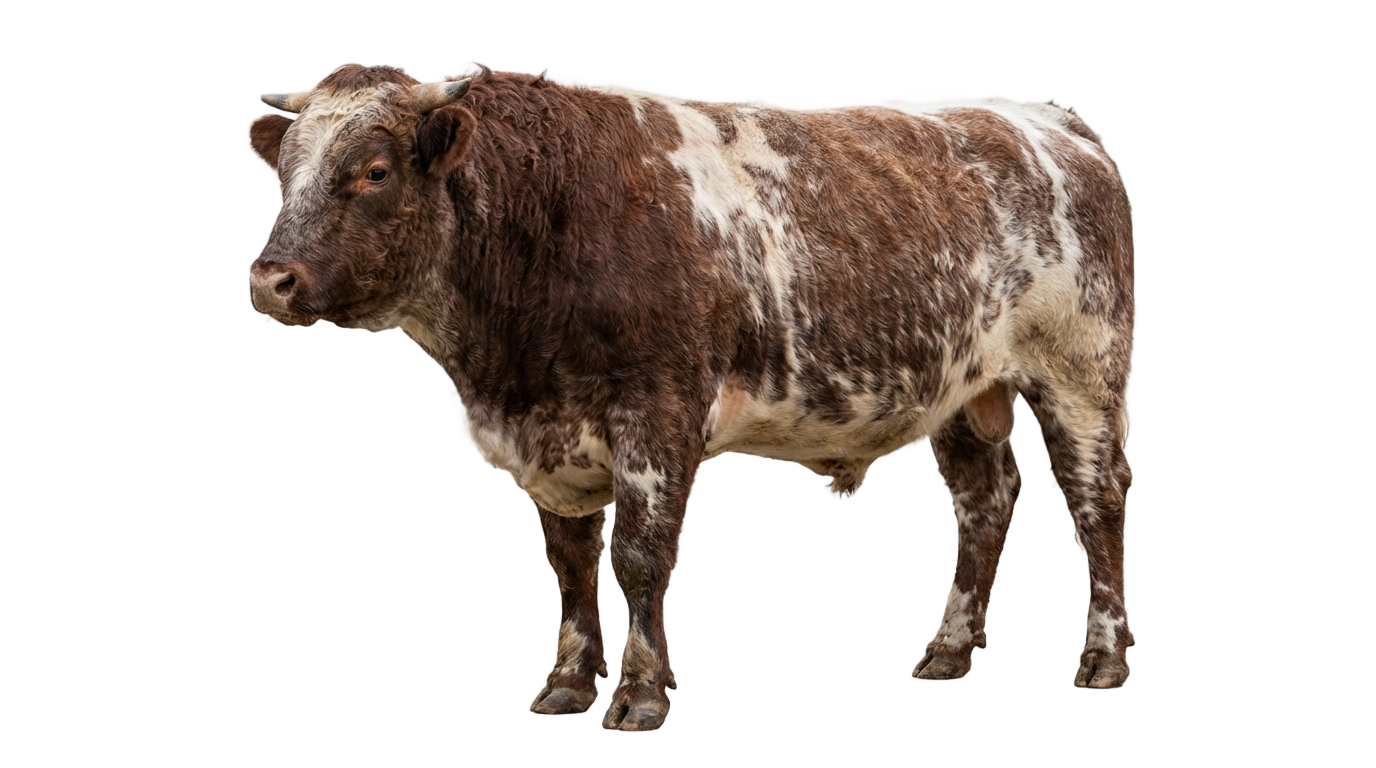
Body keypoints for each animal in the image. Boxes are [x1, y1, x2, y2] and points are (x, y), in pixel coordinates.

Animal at [245, 64, 1135, 730]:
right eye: (285, 171)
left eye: (374, 170)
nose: (269, 278)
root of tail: (1040, 119)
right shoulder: (549, 443)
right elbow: (569, 564)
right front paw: (569, 685)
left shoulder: (659, 412)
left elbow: (639, 557)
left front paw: (640, 694)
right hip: (965, 392)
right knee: (986, 500)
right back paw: (950, 649)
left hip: (1082, 371)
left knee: (1097, 500)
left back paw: (1105, 654)